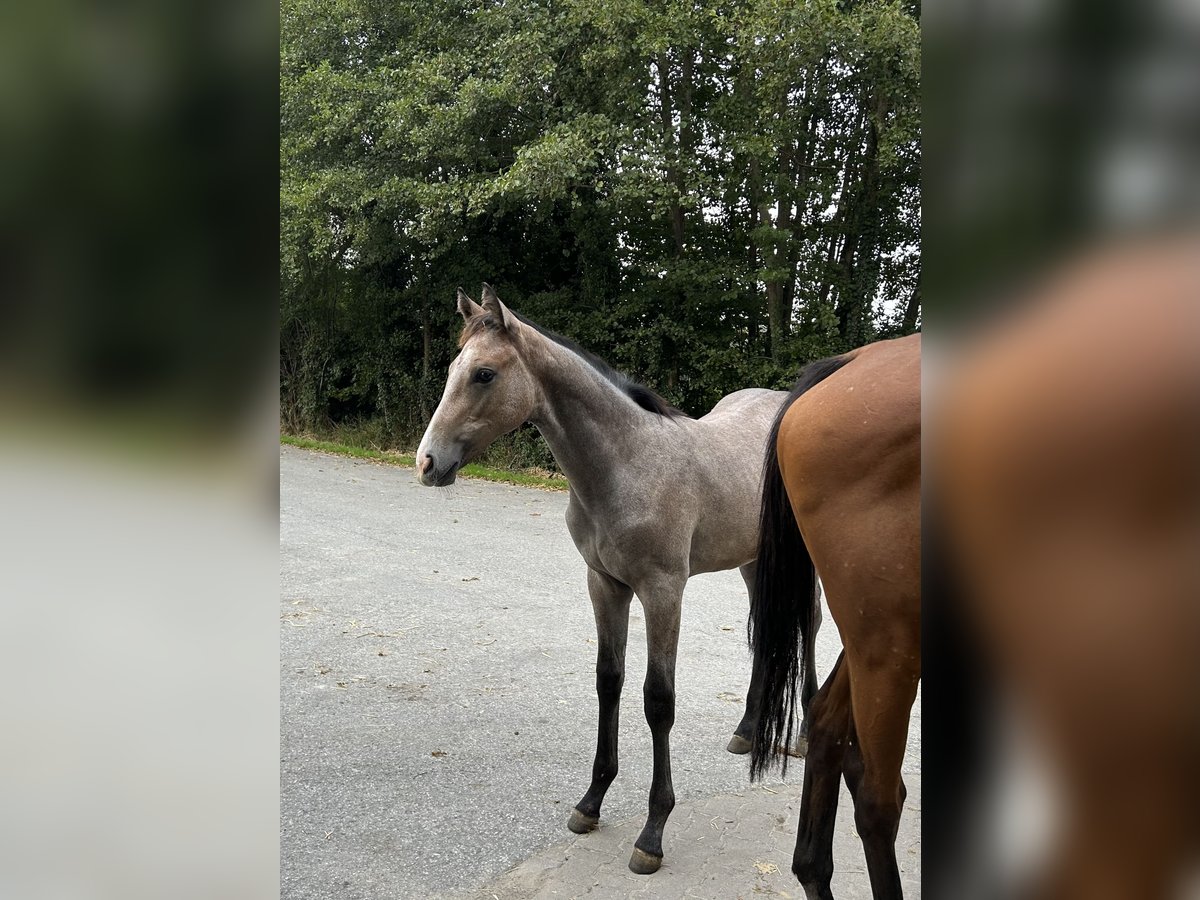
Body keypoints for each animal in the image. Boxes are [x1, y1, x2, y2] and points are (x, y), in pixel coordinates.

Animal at [417, 286, 820, 873]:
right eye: (452, 368)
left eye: (485, 374)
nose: (427, 462)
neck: (627, 466)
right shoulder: (604, 584)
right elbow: (609, 681)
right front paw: (591, 802)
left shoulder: (662, 590)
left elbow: (658, 700)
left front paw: (652, 831)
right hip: (752, 559)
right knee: (768, 630)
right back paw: (746, 732)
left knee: (807, 626)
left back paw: (809, 734)